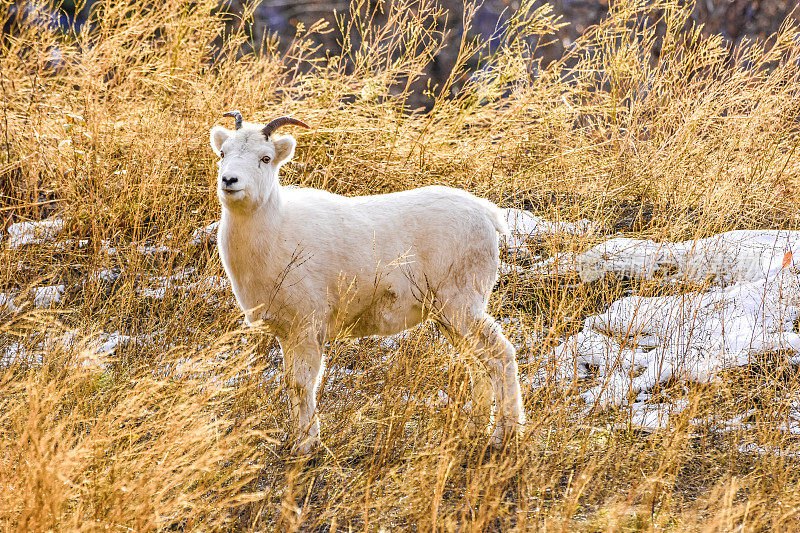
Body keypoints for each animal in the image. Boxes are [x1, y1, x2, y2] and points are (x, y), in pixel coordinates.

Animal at [209, 112, 528, 454]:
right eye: (223, 153)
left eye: (265, 158)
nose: (230, 181)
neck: (274, 233)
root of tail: (488, 215)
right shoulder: (287, 332)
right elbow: (290, 384)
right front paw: (296, 441)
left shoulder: (308, 326)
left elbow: (303, 383)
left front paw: (308, 446)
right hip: (448, 317)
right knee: (476, 363)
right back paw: (473, 433)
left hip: (461, 305)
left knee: (500, 356)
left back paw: (503, 437)